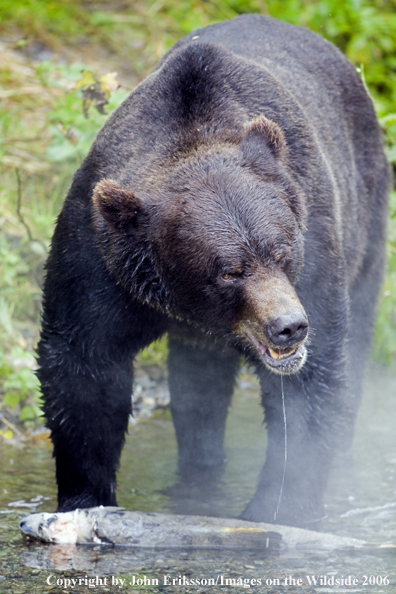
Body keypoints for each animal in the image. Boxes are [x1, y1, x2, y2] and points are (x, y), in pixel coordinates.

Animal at [38, 13, 390, 524]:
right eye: (228, 270)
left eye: (281, 250)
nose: (289, 326)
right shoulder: (100, 261)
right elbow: (83, 367)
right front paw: (85, 499)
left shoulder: (316, 247)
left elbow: (312, 381)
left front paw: (277, 508)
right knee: (198, 388)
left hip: (366, 215)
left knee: (356, 334)